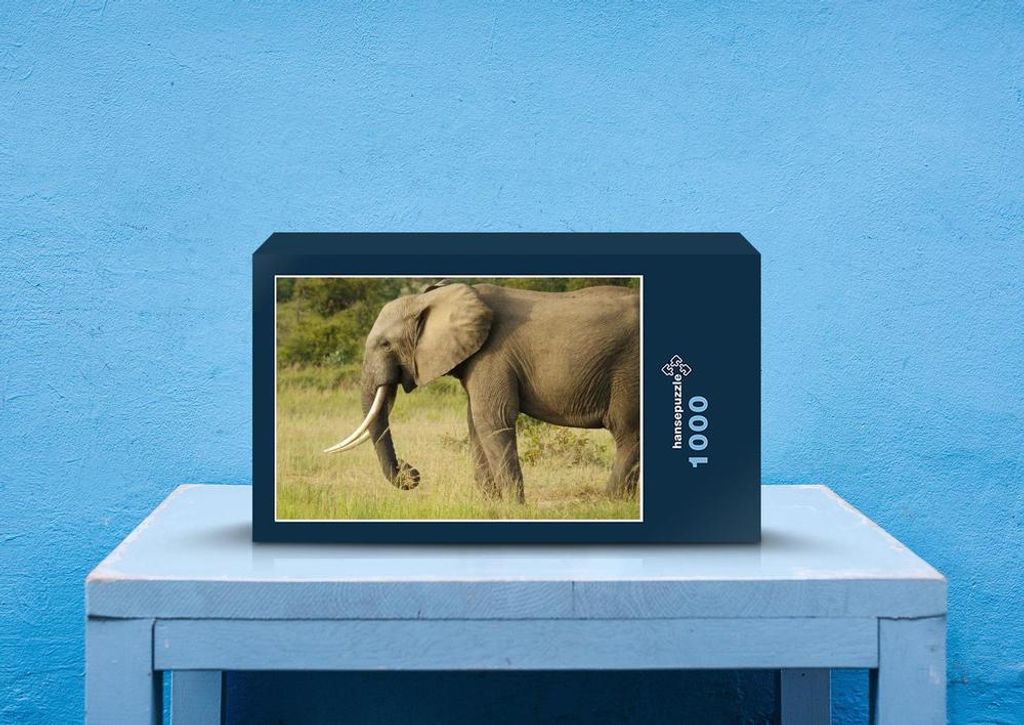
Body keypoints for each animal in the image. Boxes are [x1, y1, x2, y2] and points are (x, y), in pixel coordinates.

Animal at [325, 280, 640, 503]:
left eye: (386, 344)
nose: (411, 472)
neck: (434, 298)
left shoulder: (494, 354)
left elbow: (492, 418)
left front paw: (513, 508)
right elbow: (474, 422)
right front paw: (491, 505)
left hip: (628, 369)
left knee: (627, 431)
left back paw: (612, 503)